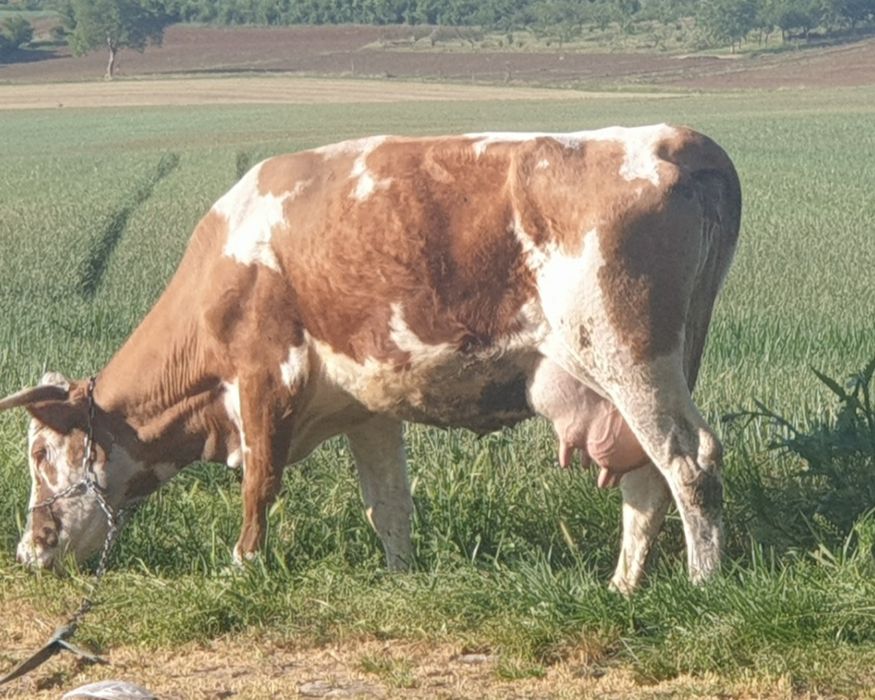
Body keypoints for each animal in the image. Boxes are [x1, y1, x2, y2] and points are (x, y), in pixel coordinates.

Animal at [0, 124, 740, 593]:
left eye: (39, 452)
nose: (28, 550)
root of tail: (670, 138)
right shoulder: (367, 406)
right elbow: (388, 503)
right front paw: (399, 579)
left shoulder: (264, 377)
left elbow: (259, 484)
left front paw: (242, 568)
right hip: (640, 374)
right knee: (645, 474)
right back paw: (622, 586)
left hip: (628, 354)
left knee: (688, 461)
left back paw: (702, 585)